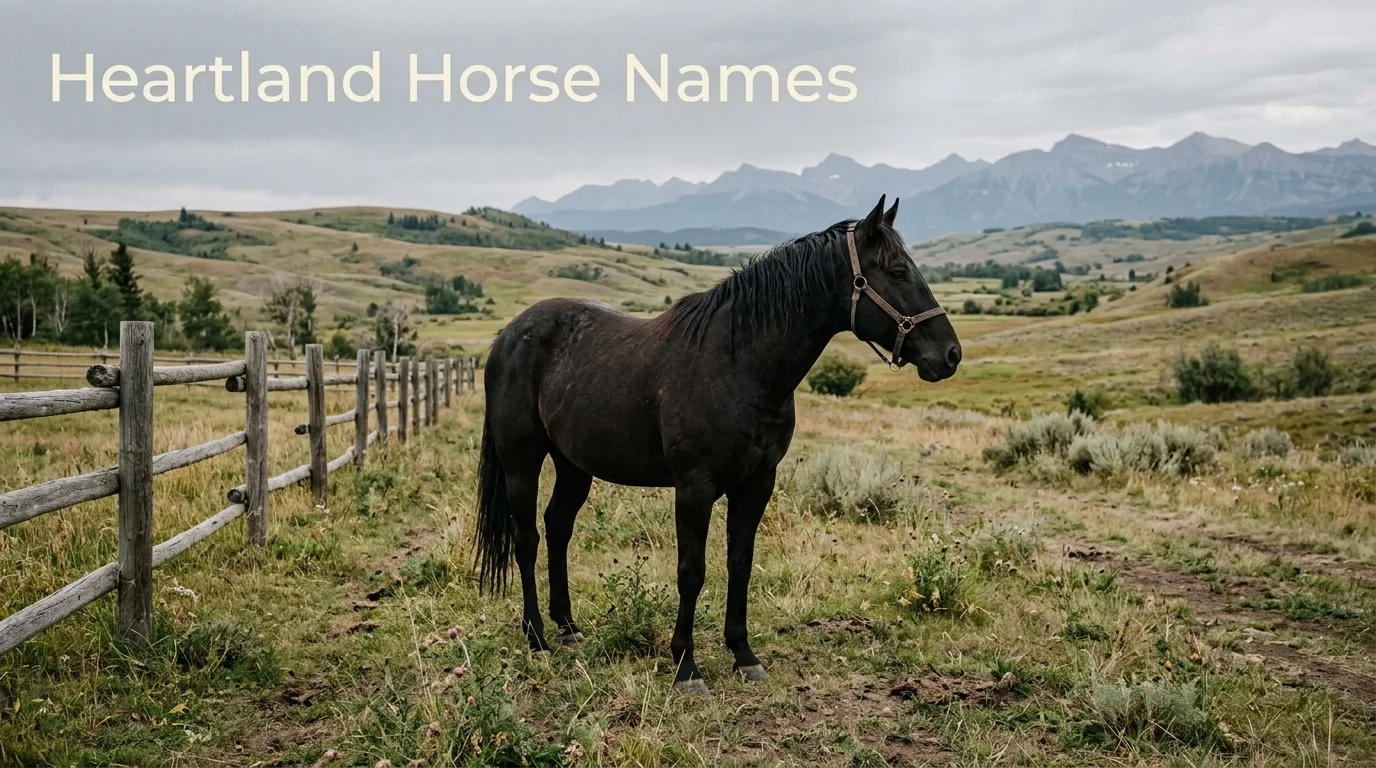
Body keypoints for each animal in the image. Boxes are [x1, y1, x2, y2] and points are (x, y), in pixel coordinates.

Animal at [474, 196, 961, 693]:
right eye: (897, 271)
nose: (950, 354)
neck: (739, 364)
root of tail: (509, 335)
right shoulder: (695, 486)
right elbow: (692, 571)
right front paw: (686, 666)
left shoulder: (757, 483)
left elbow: (739, 564)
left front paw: (743, 655)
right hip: (521, 461)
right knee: (526, 537)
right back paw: (536, 637)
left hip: (574, 464)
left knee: (558, 528)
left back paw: (569, 627)